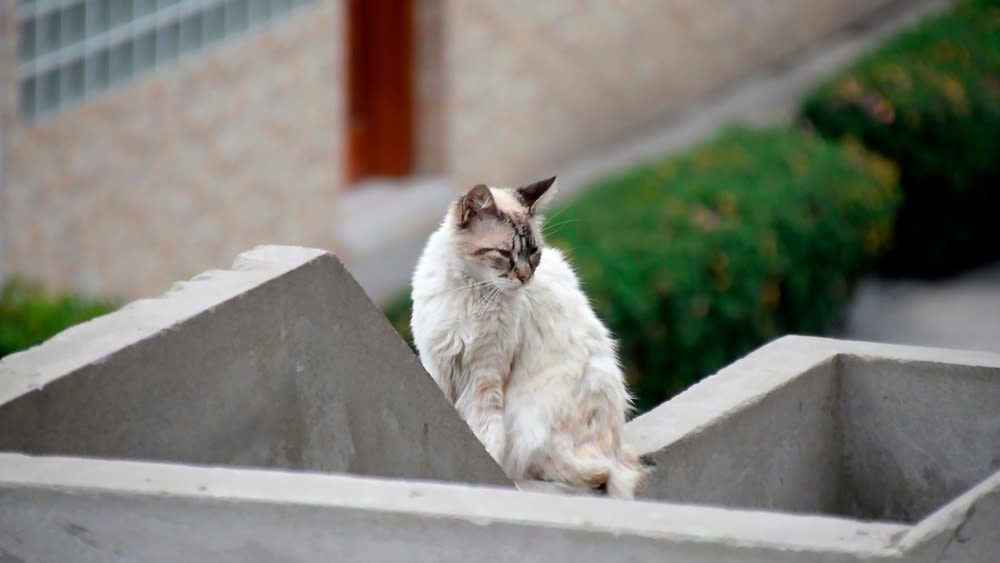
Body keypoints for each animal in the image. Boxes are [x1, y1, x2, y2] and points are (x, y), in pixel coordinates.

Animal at [410, 176, 644, 498]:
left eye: (533, 253)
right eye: (504, 254)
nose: (524, 277)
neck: (474, 293)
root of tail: (613, 452)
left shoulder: (486, 376)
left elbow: (485, 434)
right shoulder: (438, 364)